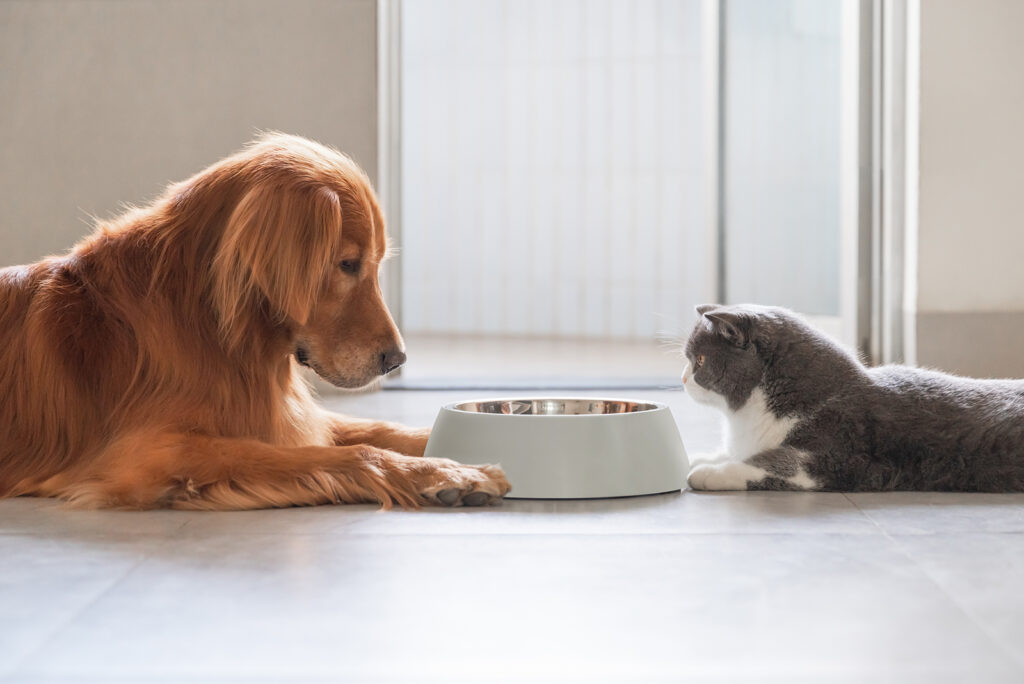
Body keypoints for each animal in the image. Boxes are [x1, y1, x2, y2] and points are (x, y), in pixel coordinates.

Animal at [0, 132, 512, 507]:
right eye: (347, 264)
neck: (209, 324)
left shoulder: (283, 415)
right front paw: (446, 472)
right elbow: (350, 452)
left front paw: (447, 447)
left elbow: (378, 430)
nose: (397, 359)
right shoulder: (150, 452)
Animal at [679, 305, 1024, 491]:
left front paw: (707, 473)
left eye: (700, 361)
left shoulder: (833, 456)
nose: (682, 379)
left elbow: (768, 463)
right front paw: (699, 457)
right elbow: (735, 452)